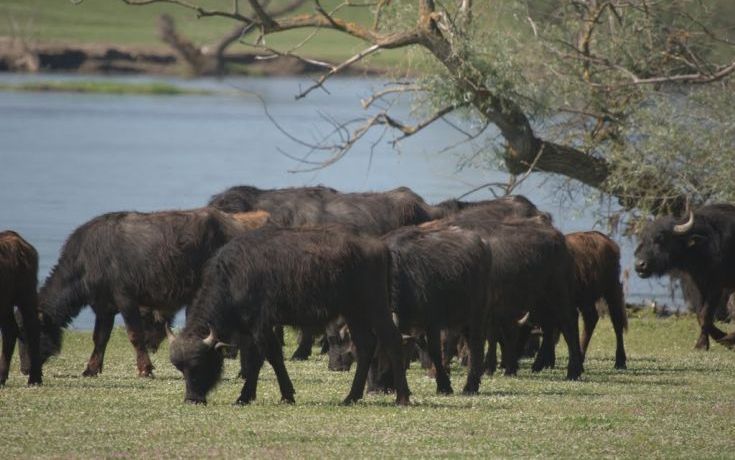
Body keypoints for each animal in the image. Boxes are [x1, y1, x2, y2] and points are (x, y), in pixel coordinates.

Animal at [35, 208, 270, 378]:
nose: (29, 368)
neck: (87, 260)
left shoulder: (126, 300)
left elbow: (134, 335)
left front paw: (145, 369)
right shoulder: (104, 307)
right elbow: (100, 338)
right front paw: (91, 369)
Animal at [168, 226, 414, 406]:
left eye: (199, 364)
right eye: (180, 368)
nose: (192, 399)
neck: (234, 277)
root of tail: (379, 246)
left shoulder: (261, 325)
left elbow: (264, 358)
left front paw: (250, 396)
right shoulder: (251, 328)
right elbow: (262, 358)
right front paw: (274, 394)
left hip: (375, 306)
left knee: (392, 340)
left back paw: (402, 397)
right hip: (353, 311)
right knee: (365, 345)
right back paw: (351, 396)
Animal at [632, 205, 735, 348]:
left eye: (660, 239)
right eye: (643, 239)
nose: (640, 265)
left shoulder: (716, 286)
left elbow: (705, 314)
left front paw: (716, 340)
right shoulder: (697, 286)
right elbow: (700, 314)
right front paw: (707, 341)